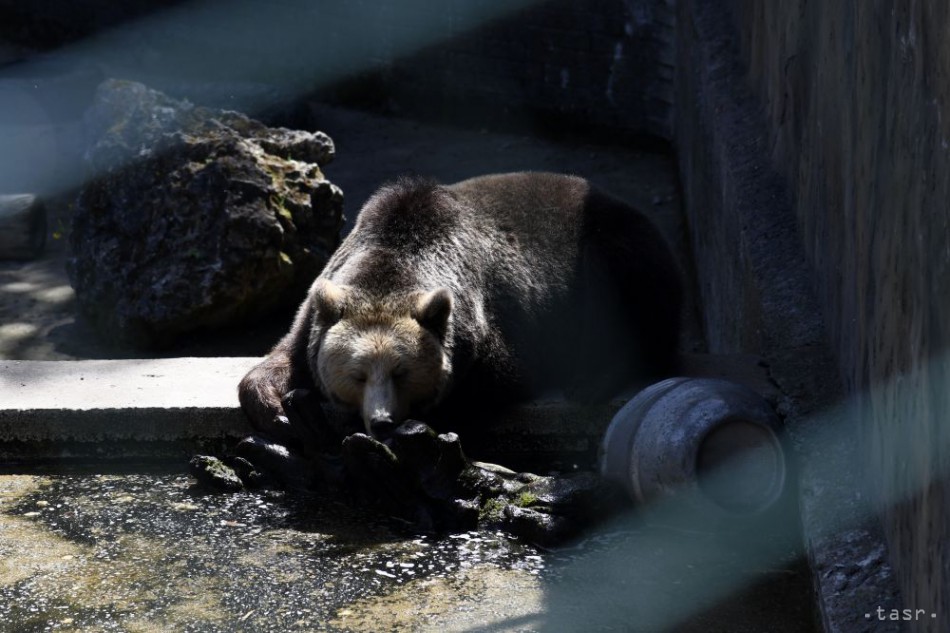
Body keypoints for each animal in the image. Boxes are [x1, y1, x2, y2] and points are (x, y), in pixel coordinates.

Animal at [240, 172, 684, 440]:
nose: (382, 423)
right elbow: (285, 355)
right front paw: (287, 409)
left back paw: (592, 378)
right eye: (358, 374)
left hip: (614, 245)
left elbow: (496, 377)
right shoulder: (320, 304)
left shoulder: (493, 322)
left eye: (401, 372)